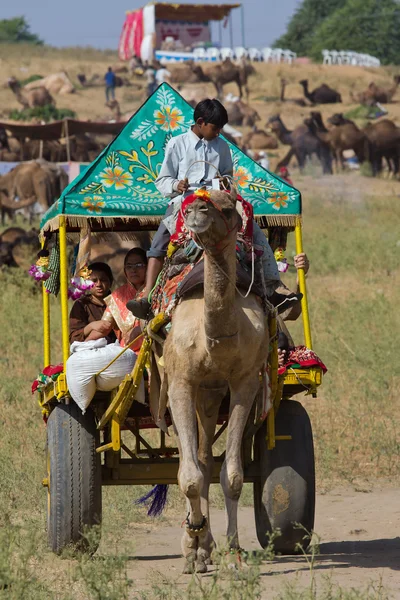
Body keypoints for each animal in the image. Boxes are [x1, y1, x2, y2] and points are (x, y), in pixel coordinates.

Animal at [162, 189, 268, 576]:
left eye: (225, 205)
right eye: (191, 203)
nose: (196, 209)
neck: (216, 339)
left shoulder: (244, 382)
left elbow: (232, 475)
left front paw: (233, 550)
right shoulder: (180, 381)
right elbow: (188, 476)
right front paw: (192, 547)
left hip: (211, 393)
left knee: (207, 458)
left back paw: (208, 545)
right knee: (192, 460)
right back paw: (196, 543)